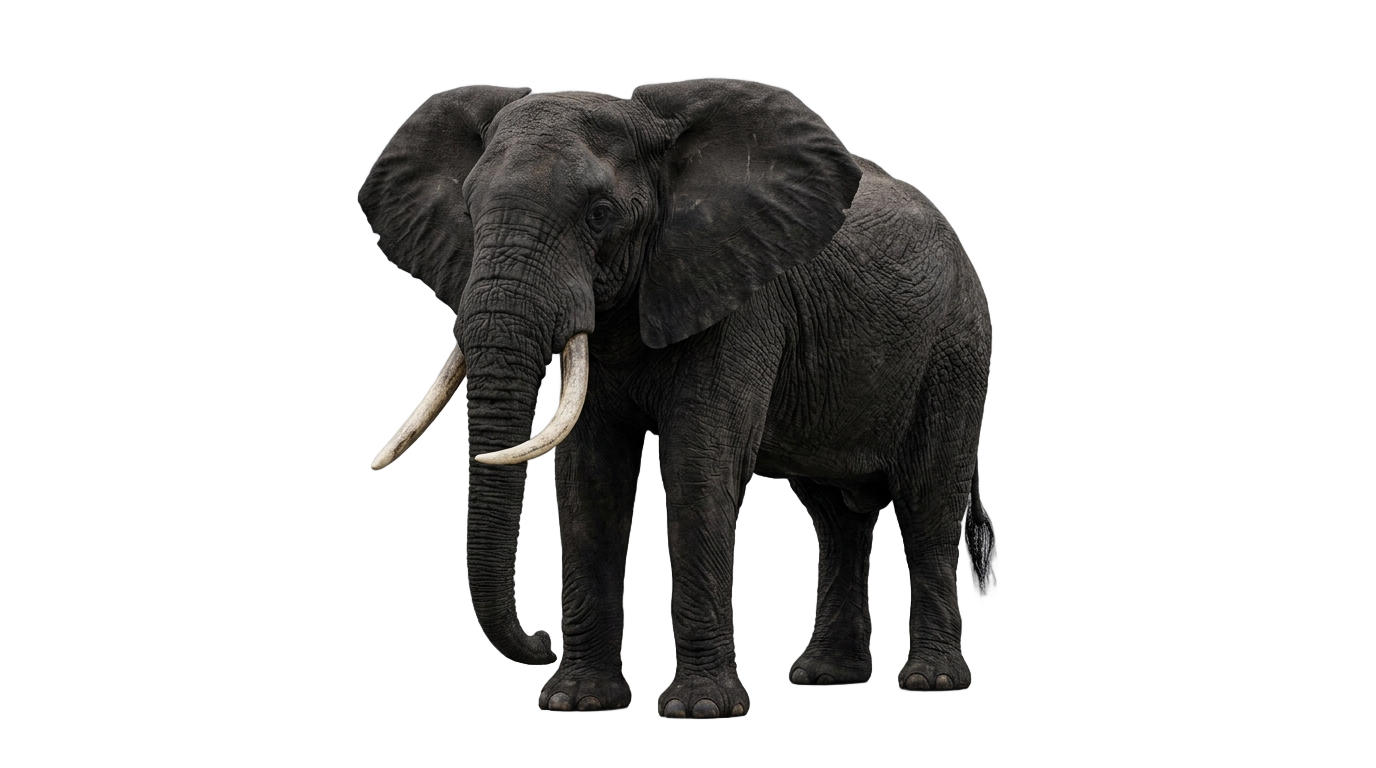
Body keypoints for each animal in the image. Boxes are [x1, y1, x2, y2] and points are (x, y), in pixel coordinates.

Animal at [358, 79, 993, 718]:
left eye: (600, 215)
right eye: (468, 212)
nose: (539, 642)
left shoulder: (742, 297)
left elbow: (699, 465)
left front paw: (702, 711)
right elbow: (589, 476)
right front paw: (577, 703)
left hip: (954, 353)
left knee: (927, 503)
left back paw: (933, 682)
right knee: (835, 517)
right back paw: (826, 678)